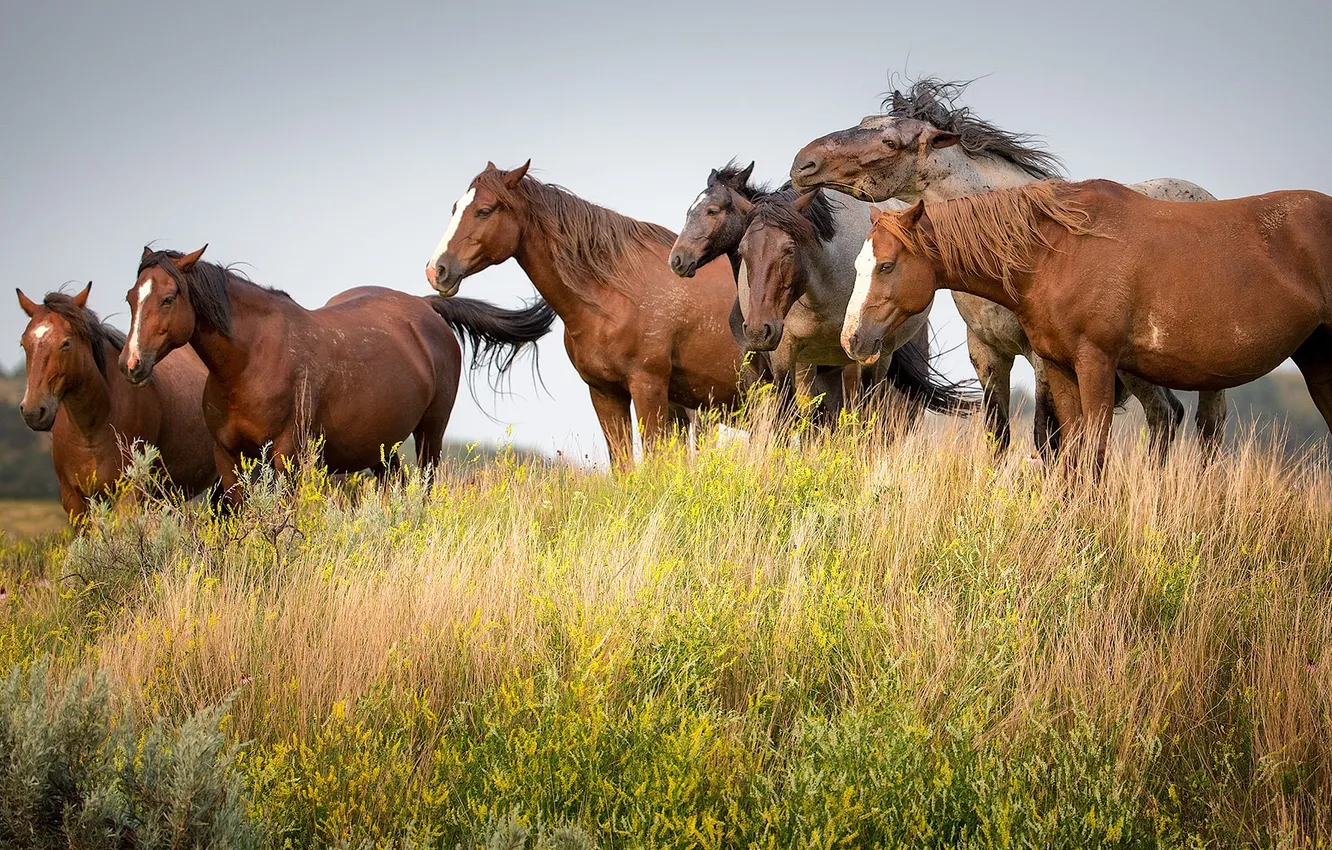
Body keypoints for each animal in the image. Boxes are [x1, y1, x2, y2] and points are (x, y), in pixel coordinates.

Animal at [17, 284, 216, 519]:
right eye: (23, 343)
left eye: (66, 343)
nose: (32, 411)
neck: (91, 429)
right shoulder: (73, 498)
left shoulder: (129, 492)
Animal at [121, 246, 554, 503]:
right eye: (130, 298)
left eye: (168, 298)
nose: (132, 364)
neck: (250, 362)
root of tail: (426, 307)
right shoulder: (228, 457)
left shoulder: (288, 455)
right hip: (382, 447)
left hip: (431, 434)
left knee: (425, 487)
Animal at [425, 161, 755, 470]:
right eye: (456, 208)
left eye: (484, 211)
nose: (436, 270)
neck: (616, 294)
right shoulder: (604, 392)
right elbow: (623, 466)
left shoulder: (648, 387)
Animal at [790, 77, 1227, 457]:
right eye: (865, 122)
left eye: (890, 142)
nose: (802, 164)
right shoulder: (987, 354)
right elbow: (997, 434)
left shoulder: (1041, 358)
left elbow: (1046, 437)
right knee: (1165, 415)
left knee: (1207, 428)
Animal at [842, 181, 1332, 477]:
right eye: (858, 265)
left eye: (886, 266)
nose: (852, 338)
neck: (1058, 252)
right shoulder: (1060, 367)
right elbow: (1073, 453)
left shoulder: (1095, 362)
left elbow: (1093, 453)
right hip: (1316, 360)